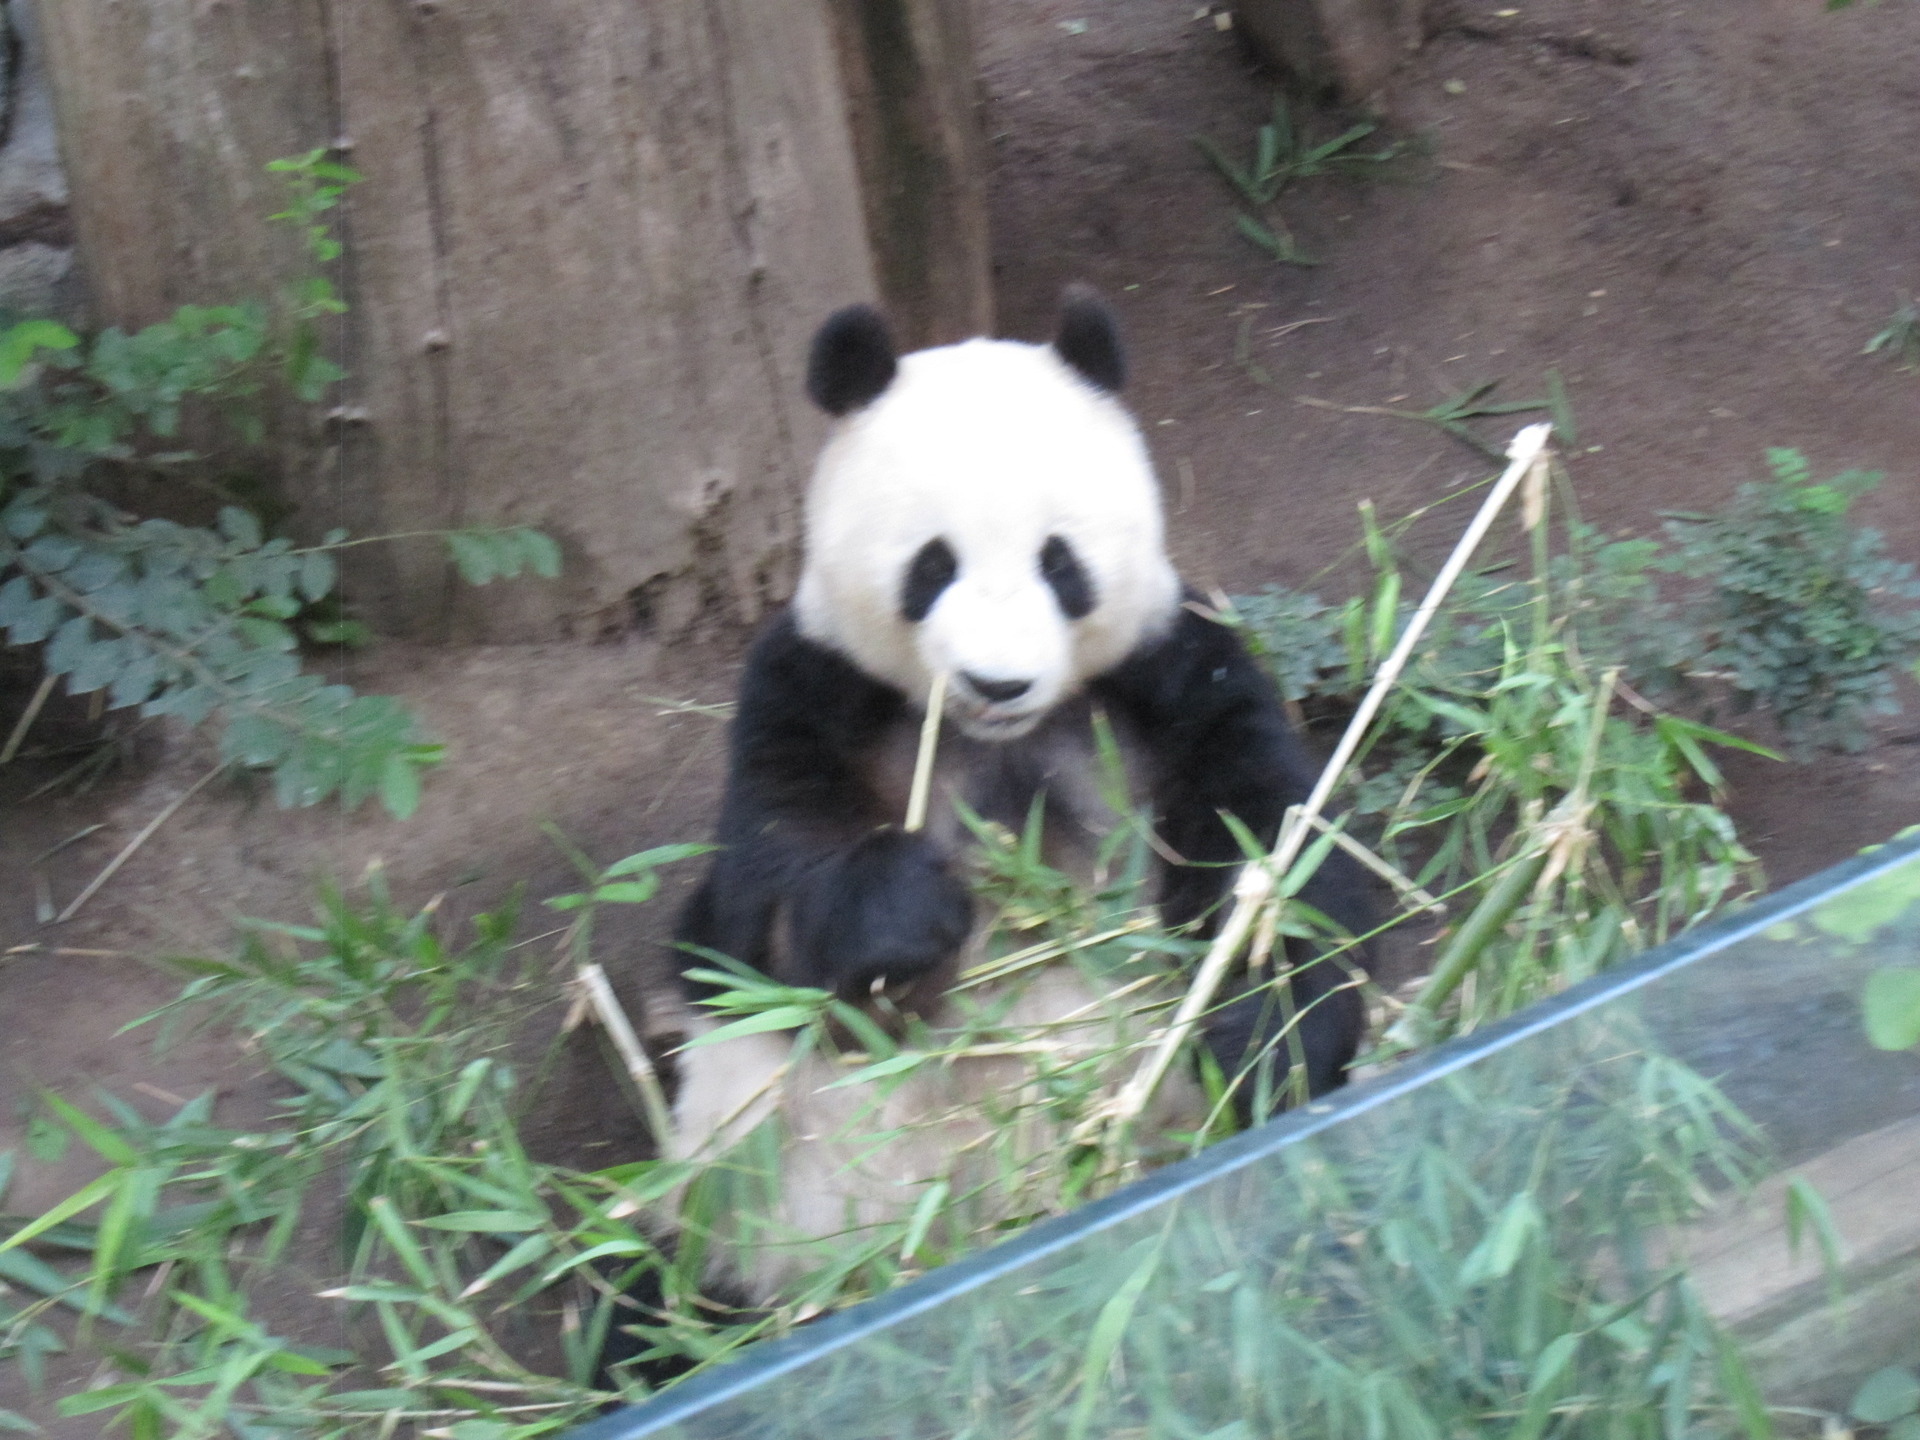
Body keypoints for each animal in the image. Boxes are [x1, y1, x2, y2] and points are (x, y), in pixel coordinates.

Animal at [645, 289, 1367, 1320]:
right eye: (930, 567)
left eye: (1059, 563)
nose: (999, 681)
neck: (997, 741)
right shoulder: (808, 688)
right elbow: (760, 908)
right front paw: (904, 913)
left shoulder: (1175, 672)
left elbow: (1272, 851)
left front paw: (1268, 1037)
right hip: (750, 1192)